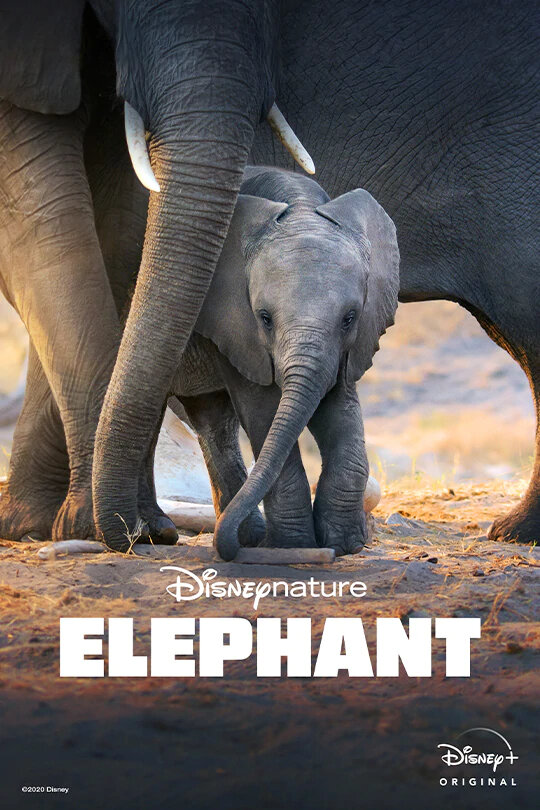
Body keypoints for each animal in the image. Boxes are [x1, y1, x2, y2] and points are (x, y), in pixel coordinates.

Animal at [168, 166, 399, 559]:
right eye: (264, 318)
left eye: (350, 318)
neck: (299, 206)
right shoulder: (234, 324)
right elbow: (263, 410)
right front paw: (294, 546)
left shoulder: (348, 347)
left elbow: (339, 408)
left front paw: (345, 545)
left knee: (211, 420)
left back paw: (247, 537)